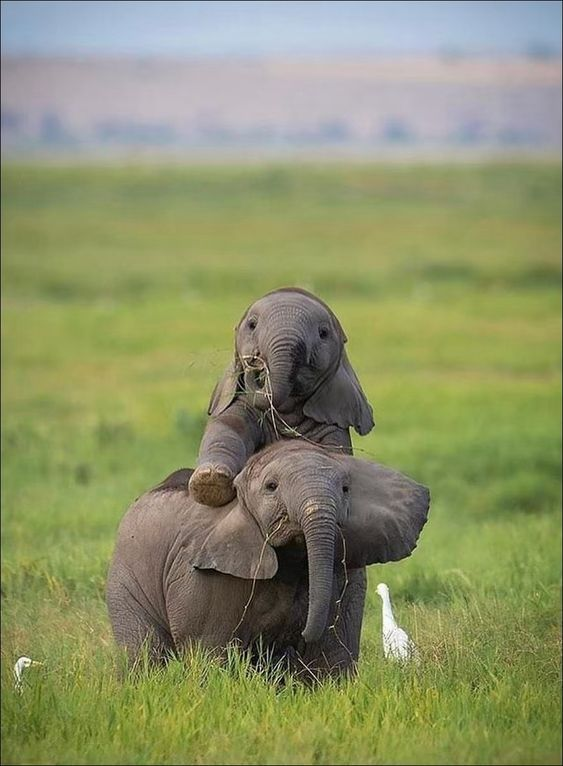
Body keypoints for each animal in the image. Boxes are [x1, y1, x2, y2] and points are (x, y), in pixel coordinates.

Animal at [107, 444, 432, 684]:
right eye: (271, 486)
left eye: (345, 489)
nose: (299, 636)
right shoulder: (204, 575)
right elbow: (210, 651)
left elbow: (331, 653)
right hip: (125, 577)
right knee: (144, 653)